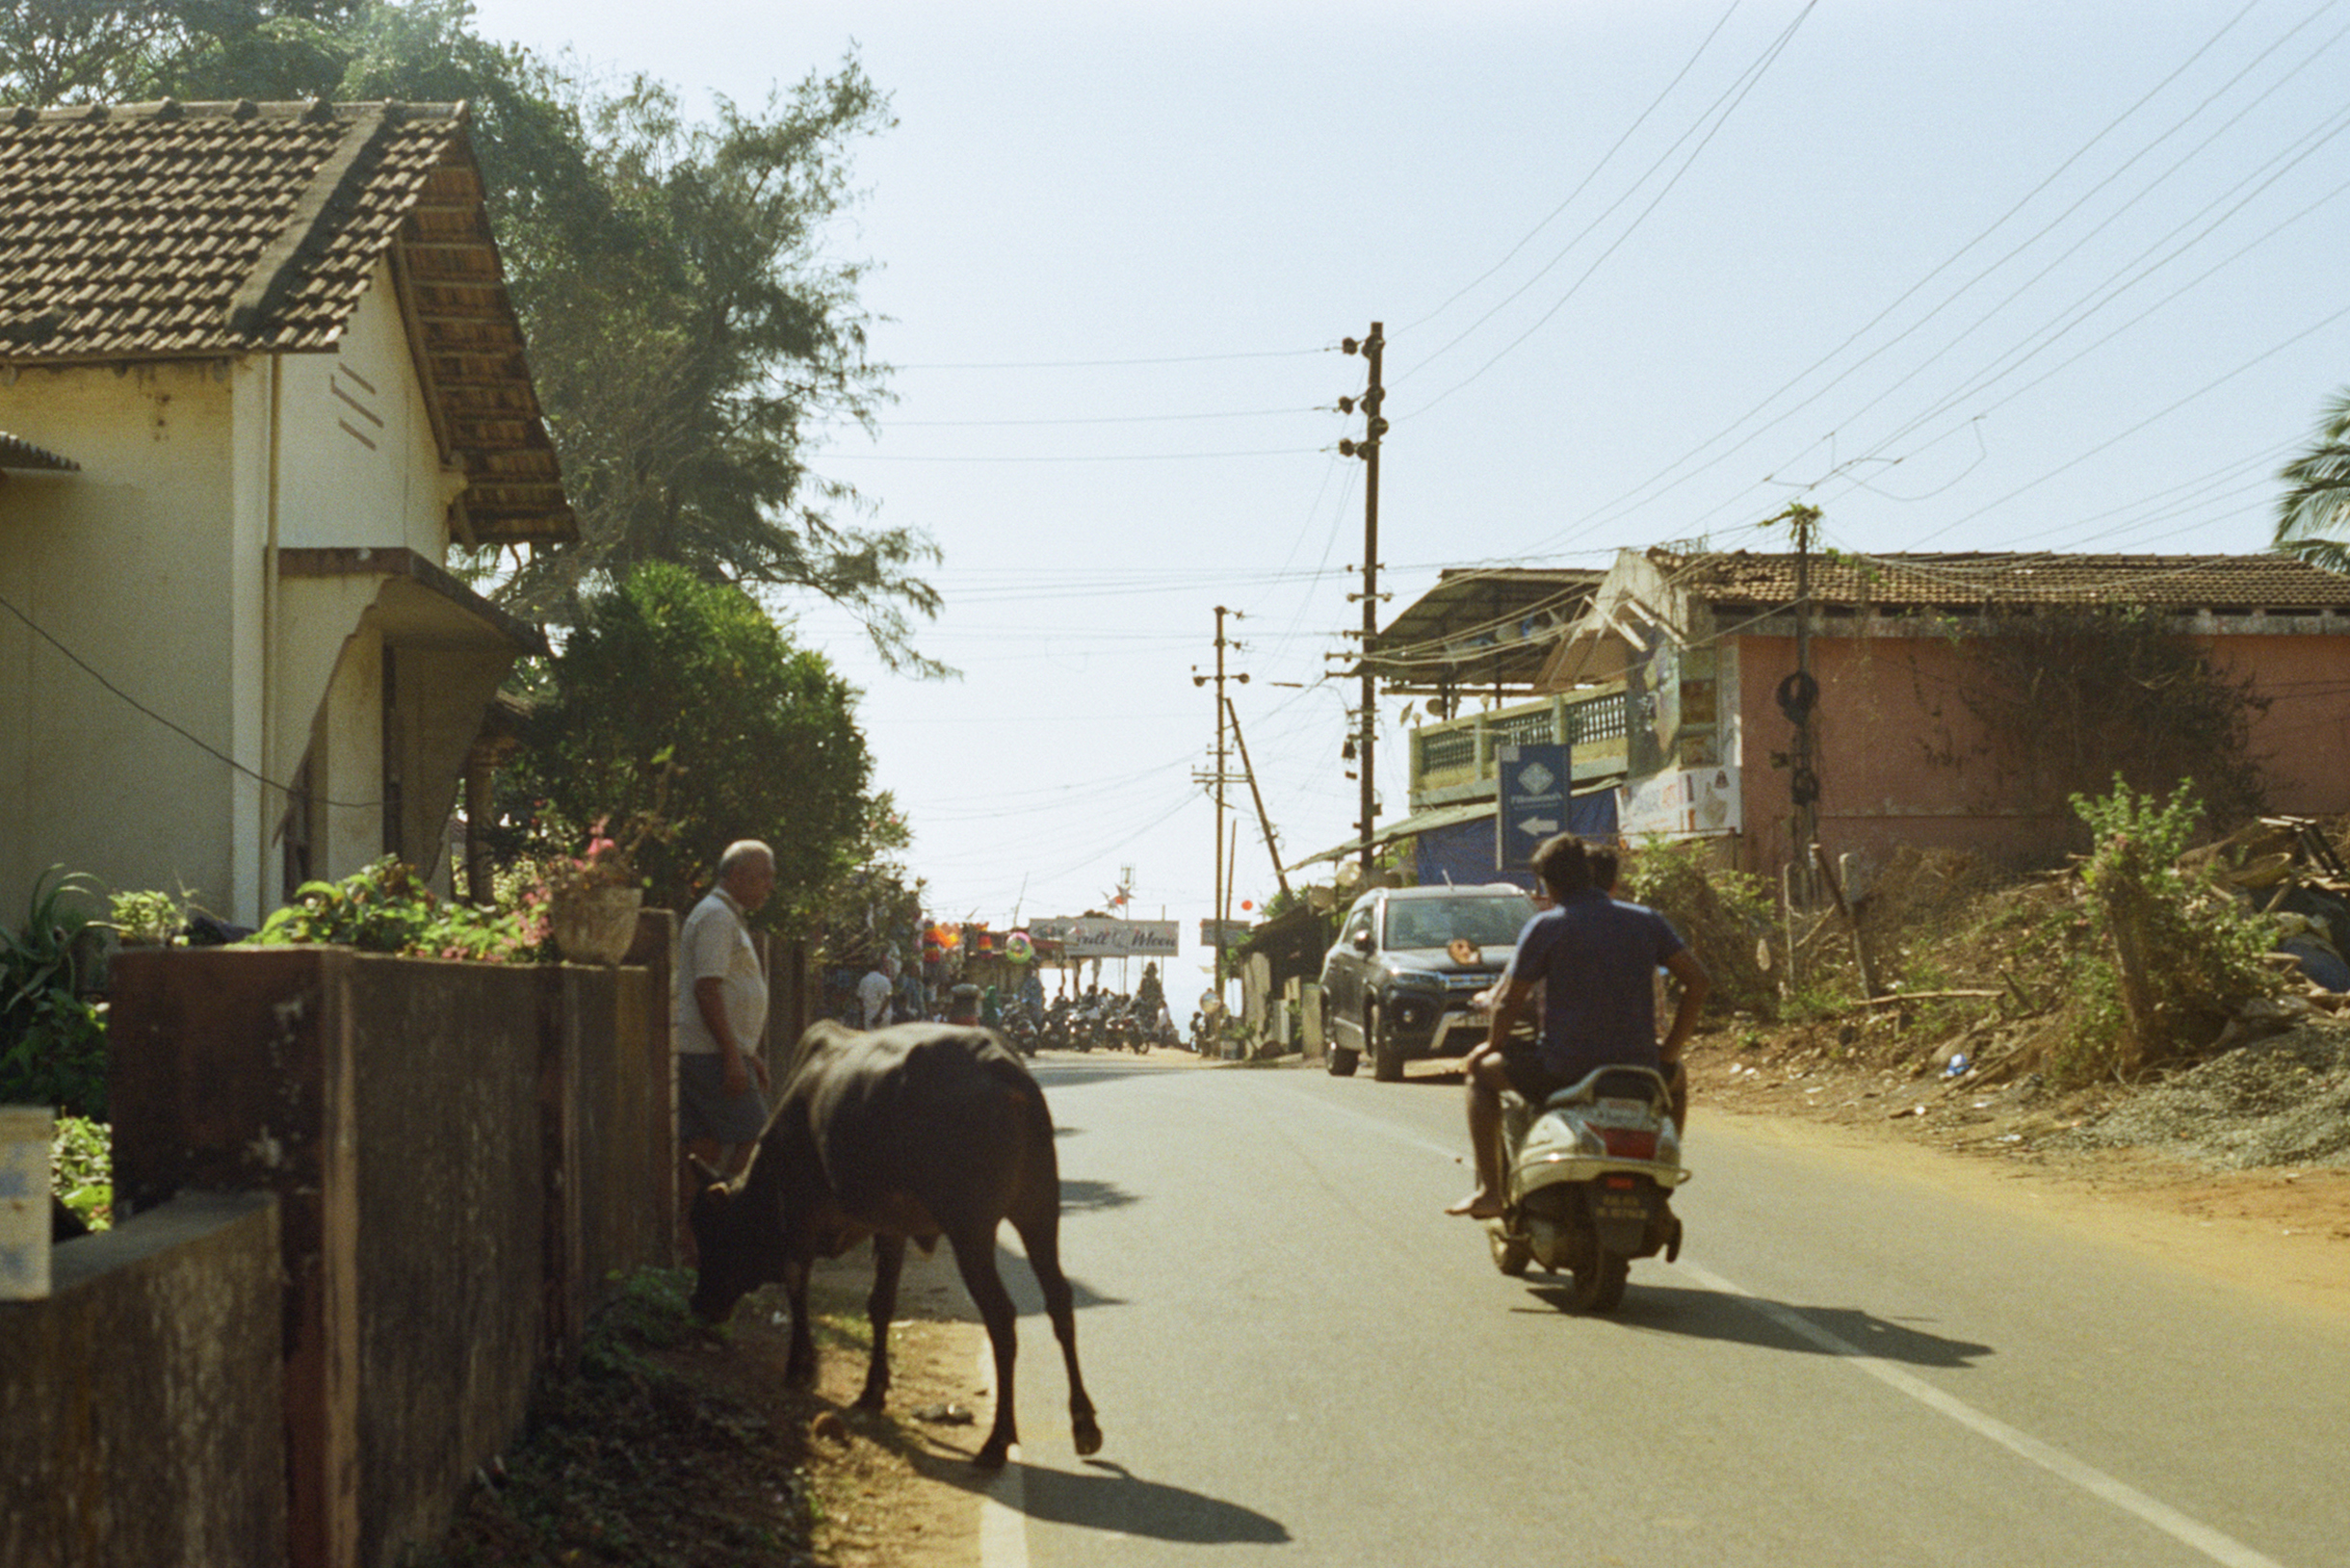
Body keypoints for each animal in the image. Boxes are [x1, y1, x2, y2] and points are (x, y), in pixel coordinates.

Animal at [686, 1020, 1099, 1476]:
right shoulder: (890, 1227)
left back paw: (997, 1441)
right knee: (1059, 1300)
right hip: (1039, 1210)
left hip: (971, 1229)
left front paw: (799, 1366)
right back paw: (1083, 1424)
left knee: (1002, 1318)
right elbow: (880, 1304)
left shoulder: (801, 1207)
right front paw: (872, 1390)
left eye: (710, 1231)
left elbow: (797, 1282)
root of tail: (1009, 1071)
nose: (699, 1303)